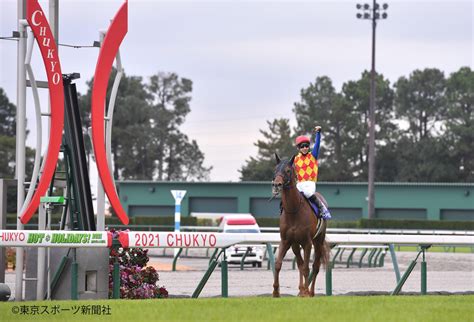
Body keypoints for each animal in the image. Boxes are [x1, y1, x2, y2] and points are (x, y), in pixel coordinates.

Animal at [270, 153, 330, 296]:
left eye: (287, 170)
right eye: (275, 170)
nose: (277, 184)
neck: (293, 211)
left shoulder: (307, 242)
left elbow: (307, 268)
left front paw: (306, 292)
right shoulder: (285, 241)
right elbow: (278, 264)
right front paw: (275, 291)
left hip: (318, 241)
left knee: (315, 266)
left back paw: (310, 292)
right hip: (295, 244)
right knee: (299, 263)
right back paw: (301, 289)